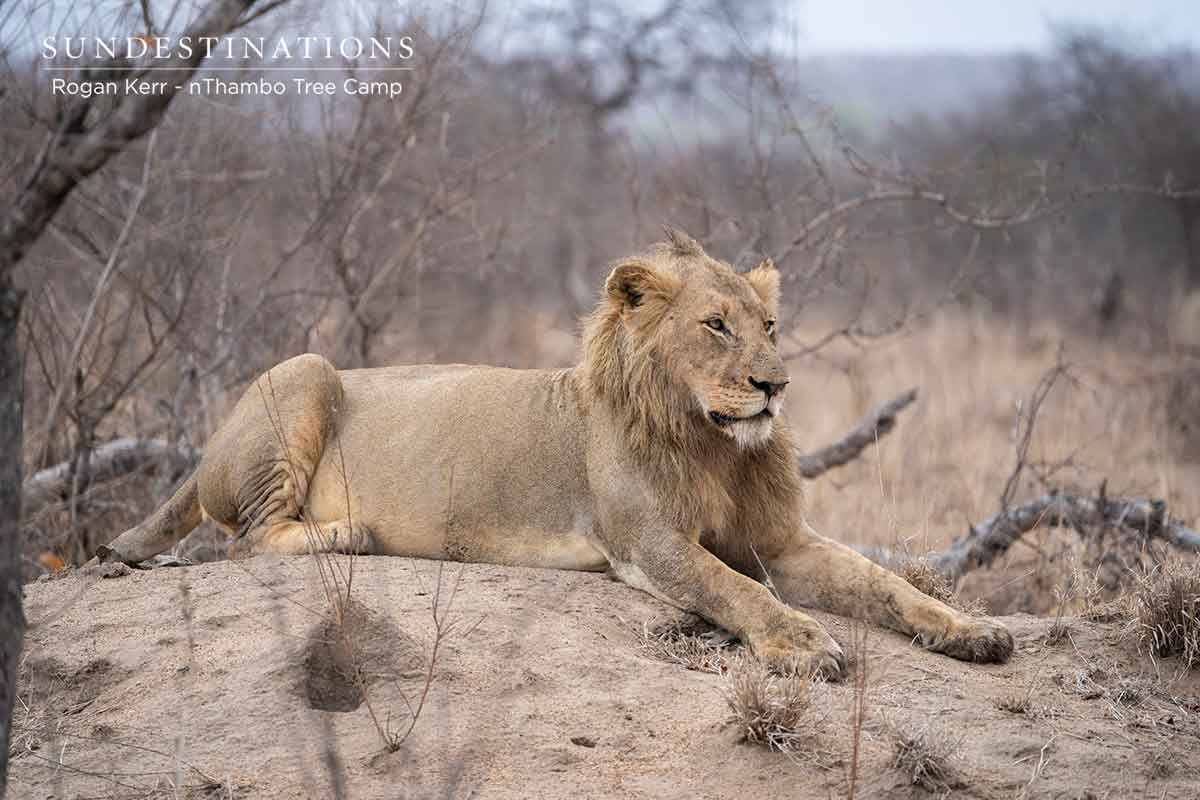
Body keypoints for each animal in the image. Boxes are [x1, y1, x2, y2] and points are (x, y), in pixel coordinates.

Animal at [99, 228, 1013, 677]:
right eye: (716, 325)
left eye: (770, 325)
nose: (774, 385)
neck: (717, 444)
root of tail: (204, 449)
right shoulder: (647, 544)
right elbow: (735, 590)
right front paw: (803, 645)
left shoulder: (780, 542)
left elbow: (887, 584)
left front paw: (972, 630)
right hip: (306, 370)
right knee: (245, 540)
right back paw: (348, 534)